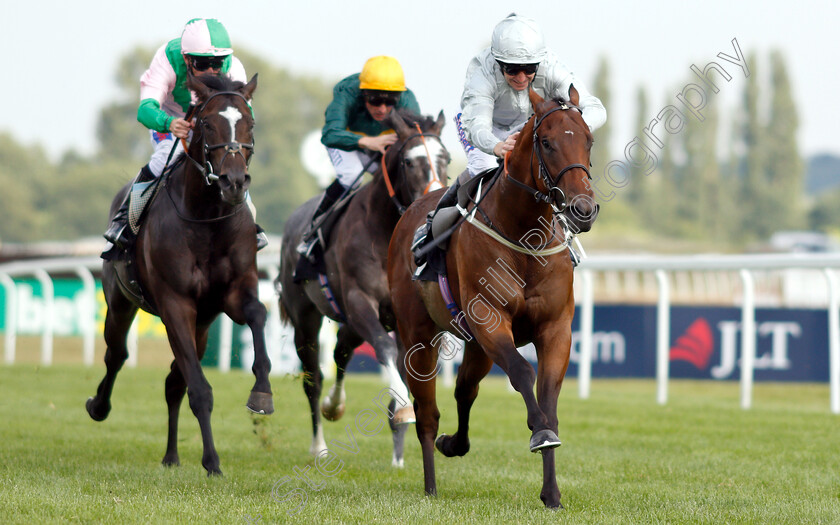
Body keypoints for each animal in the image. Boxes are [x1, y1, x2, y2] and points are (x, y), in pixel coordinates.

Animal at [84, 72, 272, 474]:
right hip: (121, 302)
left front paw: (262, 392)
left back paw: (171, 455)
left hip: (202, 325)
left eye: (250, 124)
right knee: (117, 354)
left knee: (174, 381)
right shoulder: (175, 304)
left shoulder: (233, 292)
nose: (234, 182)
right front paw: (213, 461)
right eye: (207, 123)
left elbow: (258, 313)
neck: (207, 219)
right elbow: (200, 390)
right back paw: (99, 406)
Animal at [278, 108, 450, 464]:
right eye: (409, 162)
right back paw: (320, 445)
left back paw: (335, 407)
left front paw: (399, 453)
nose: (433, 203)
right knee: (313, 377)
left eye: (446, 158)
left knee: (341, 350)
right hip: (306, 316)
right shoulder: (359, 300)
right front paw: (403, 408)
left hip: (353, 324)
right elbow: (384, 349)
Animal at [388, 88, 596, 506]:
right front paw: (540, 433)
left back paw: (454, 444)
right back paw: (430, 486)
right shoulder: (491, 319)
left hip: (477, 347)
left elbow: (547, 397)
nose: (583, 208)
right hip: (419, 334)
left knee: (464, 389)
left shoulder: (556, 328)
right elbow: (522, 373)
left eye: (589, 140)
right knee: (427, 413)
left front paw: (552, 493)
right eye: (547, 142)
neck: (525, 238)